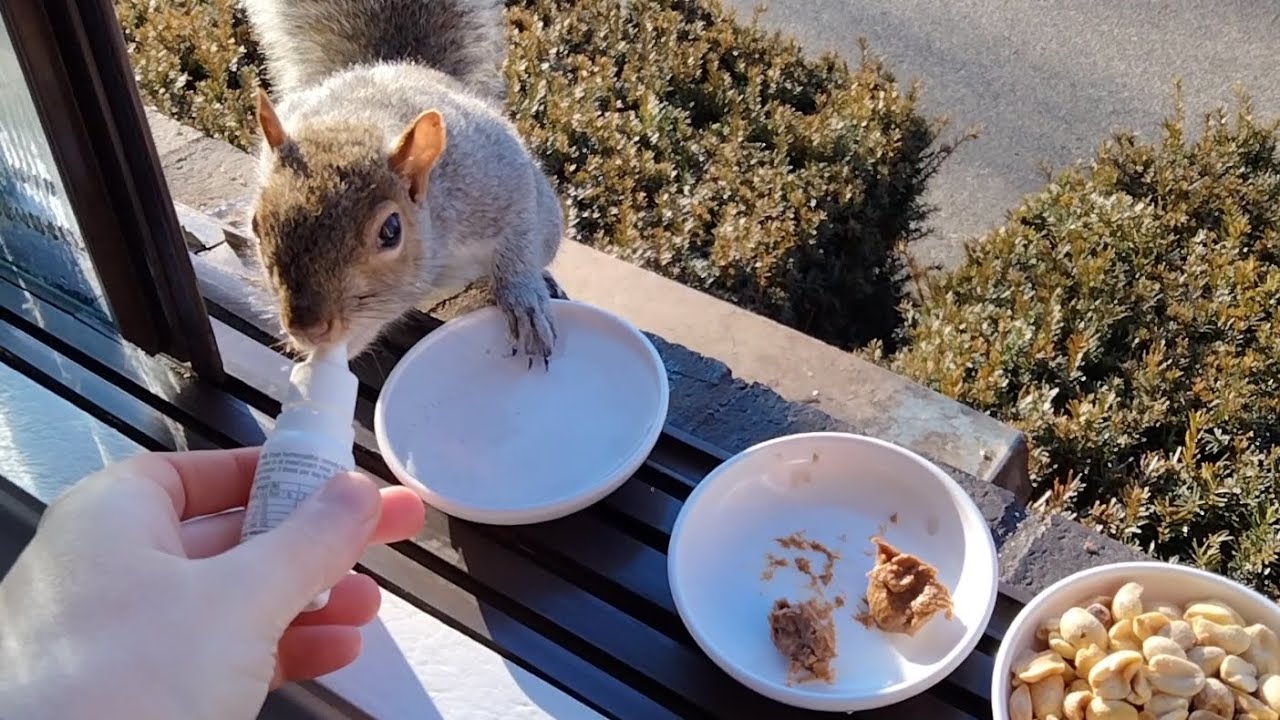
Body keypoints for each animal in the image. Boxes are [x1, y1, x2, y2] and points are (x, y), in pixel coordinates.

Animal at [239, 0, 566, 367]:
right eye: (255, 226)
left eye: (391, 231)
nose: (308, 328)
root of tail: (401, 64)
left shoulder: (494, 176)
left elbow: (519, 237)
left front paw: (524, 300)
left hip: (549, 223)